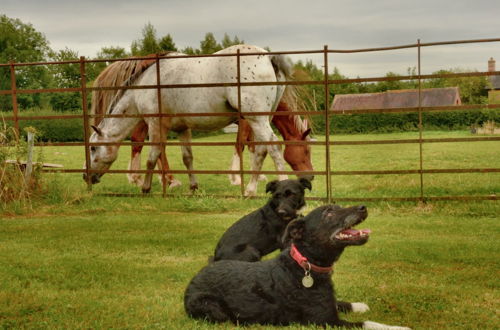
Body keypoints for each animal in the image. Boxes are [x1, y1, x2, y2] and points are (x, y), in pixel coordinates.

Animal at [86, 46, 312, 196]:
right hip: (261, 119)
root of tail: (268, 57)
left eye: (93, 148)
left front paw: (146, 187)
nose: (86, 176)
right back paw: (249, 190)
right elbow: (187, 157)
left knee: (272, 147)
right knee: (263, 149)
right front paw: (193, 186)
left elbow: (153, 156)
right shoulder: (182, 128)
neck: (146, 83)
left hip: (257, 119)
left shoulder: (156, 124)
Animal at [186, 205, 412, 328]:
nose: (362, 207)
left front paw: (358, 305)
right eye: (329, 213)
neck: (305, 264)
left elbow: (340, 302)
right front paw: (397, 327)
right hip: (210, 306)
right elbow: (368, 324)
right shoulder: (326, 321)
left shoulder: (328, 305)